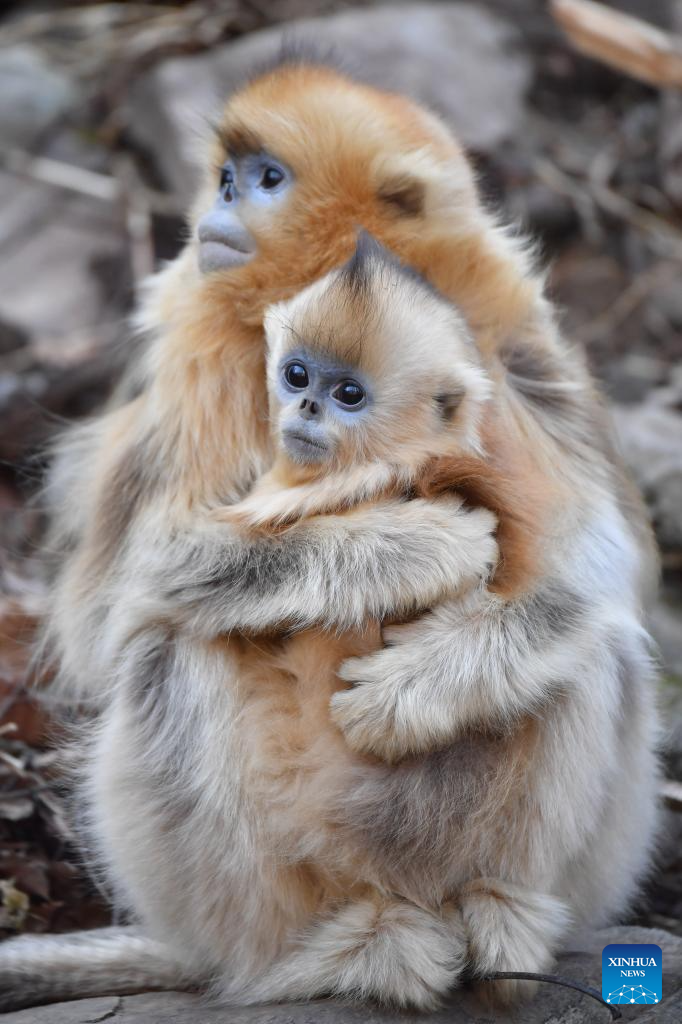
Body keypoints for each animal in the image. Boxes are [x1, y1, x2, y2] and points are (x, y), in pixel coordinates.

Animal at [0, 54, 659, 1011]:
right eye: (226, 176)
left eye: (267, 179)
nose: (218, 207)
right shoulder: (199, 353)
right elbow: (124, 593)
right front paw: (414, 549)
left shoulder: (508, 341)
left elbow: (598, 563)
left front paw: (409, 690)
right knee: (168, 640)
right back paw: (321, 957)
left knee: (597, 645)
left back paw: (499, 918)